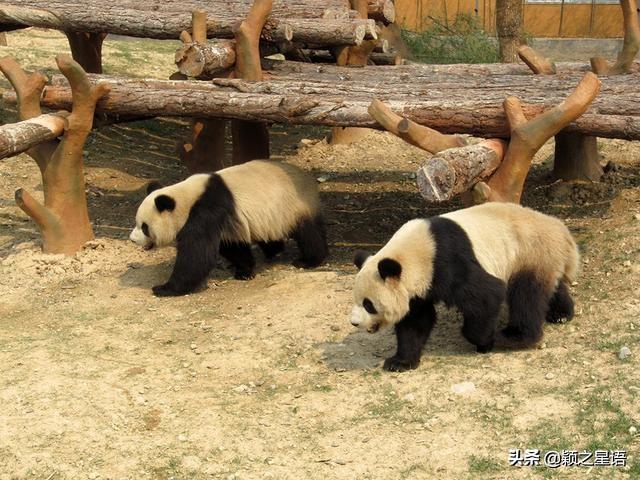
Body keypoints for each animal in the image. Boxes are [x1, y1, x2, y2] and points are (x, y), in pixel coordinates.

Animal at [131, 160, 330, 296]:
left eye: (145, 227)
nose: (132, 239)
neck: (187, 199)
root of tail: (308, 178)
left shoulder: (207, 210)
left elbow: (197, 255)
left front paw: (165, 288)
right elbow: (229, 245)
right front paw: (245, 270)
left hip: (295, 206)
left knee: (308, 233)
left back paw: (309, 260)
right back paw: (274, 250)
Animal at [350, 202, 580, 372]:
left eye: (368, 304)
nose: (354, 322)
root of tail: (561, 229)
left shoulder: (447, 261)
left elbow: (487, 294)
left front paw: (485, 341)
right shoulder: (418, 287)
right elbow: (415, 321)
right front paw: (400, 362)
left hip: (529, 251)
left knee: (526, 295)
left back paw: (515, 335)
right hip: (543, 256)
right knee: (551, 286)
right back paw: (561, 313)